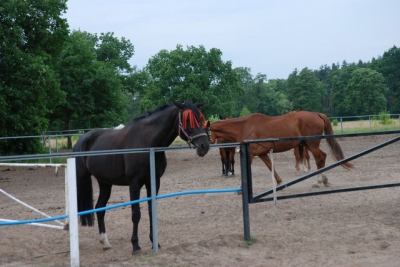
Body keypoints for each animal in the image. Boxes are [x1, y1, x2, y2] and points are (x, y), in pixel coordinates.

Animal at [72, 101, 209, 255]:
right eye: (188, 120)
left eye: (201, 118)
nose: (204, 146)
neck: (147, 144)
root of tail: (82, 139)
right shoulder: (134, 183)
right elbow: (136, 213)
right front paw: (135, 245)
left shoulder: (154, 181)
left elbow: (151, 210)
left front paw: (154, 242)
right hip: (81, 180)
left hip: (105, 183)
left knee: (100, 208)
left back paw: (105, 242)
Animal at [206, 112, 354, 187]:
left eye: (204, 131)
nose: (202, 147)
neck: (244, 126)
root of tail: (317, 114)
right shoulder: (262, 153)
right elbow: (270, 167)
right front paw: (279, 182)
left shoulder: (250, 154)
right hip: (307, 144)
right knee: (321, 157)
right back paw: (323, 179)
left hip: (312, 144)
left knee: (320, 158)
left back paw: (319, 181)